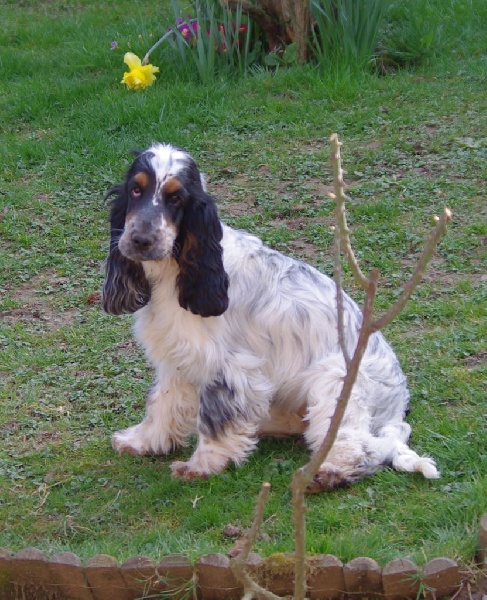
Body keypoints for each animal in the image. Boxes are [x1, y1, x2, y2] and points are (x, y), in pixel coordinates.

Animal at [101, 143, 440, 490]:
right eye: (136, 189)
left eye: (175, 198)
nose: (140, 240)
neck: (177, 268)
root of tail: (397, 406)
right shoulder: (177, 359)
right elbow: (161, 404)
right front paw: (141, 442)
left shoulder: (228, 367)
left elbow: (213, 421)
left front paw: (201, 466)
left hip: (335, 382)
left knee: (361, 447)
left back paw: (329, 473)